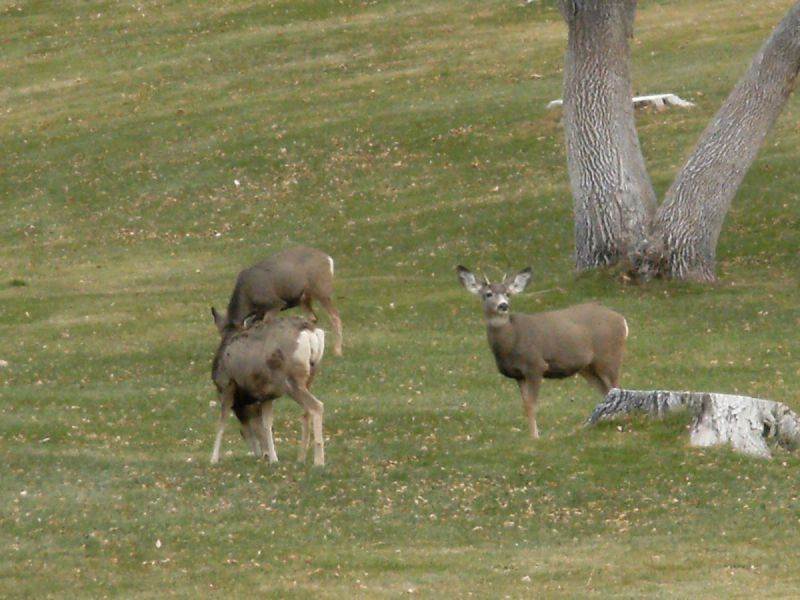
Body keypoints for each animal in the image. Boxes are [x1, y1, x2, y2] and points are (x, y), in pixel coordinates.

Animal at [210, 314, 327, 466]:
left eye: (241, 434)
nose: (261, 454)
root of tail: (310, 331)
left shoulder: (227, 386)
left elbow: (221, 422)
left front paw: (213, 458)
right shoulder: (266, 395)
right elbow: (267, 424)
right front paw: (273, 458)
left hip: (291, 381)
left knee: (317, 406)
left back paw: (319, 461)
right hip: (308, 378)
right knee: (306, 413)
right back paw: (301, 458)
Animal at [212, 246, 343, 356]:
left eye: (233, 339)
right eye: (221, 336)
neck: (247, 299)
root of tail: (329, 259)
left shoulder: (275, 303)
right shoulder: (259, 313)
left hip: (321, 290)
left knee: (335, 316)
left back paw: (337, 351)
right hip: (303, 298)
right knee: (313, 318)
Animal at [456, 266, 628, 439]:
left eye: (508, 294)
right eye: (488, 294)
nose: (503, 305)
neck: (512, 339)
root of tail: (622, 320)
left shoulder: (535, 365)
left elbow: (533, 404)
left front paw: (535, 437)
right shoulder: (519, 374)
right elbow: (525, 404)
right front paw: (532, 434)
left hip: (609, 356)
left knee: (617, 389)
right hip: (588, 367)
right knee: (607, 392)